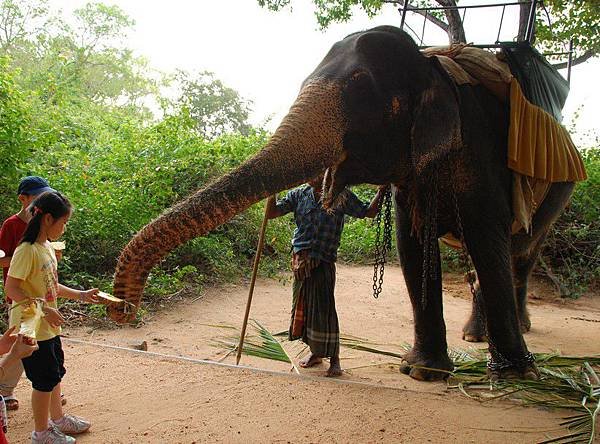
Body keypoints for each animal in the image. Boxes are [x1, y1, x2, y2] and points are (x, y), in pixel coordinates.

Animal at [109, 26, 576, 382]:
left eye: (359, 88)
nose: (124, 312)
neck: (431, 65)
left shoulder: (483, 151)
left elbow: (485, 240)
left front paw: (516, 378)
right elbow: (411, 246)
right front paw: (422, 372)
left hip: (556, 195)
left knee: (518, 252)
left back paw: (509, 348)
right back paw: (478, 340)